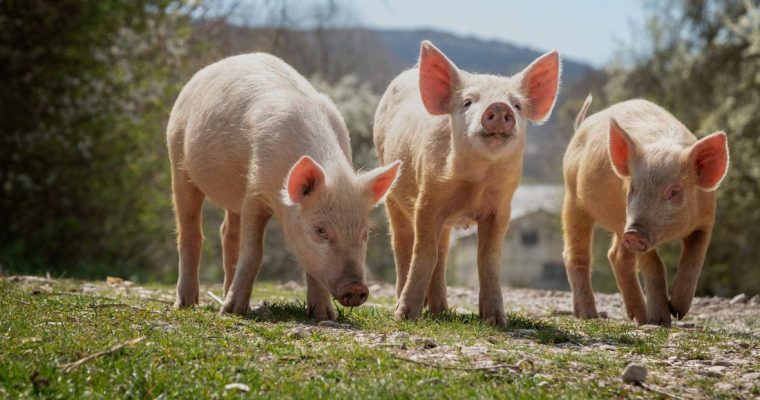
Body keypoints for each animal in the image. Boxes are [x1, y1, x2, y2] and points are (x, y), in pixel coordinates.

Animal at [167, 53, 401, 320]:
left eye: (365, 233)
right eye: (320, 230)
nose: (356, 288)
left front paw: (325, 316)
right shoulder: (255, 191)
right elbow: (253, 252)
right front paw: (232, 312)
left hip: (232, 196)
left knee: (228, 233)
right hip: (177, 156)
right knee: (190, 231)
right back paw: (187, 304)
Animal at [373, 41, 561, 325]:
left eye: (517, 105)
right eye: (468, 102)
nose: (499, 107)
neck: (476, 183)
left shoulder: (502, 209)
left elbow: (488, 258)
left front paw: (496, 320)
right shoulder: (427, 199)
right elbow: (424, 252)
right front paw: (405, 317)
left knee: (442, 252)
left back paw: (440, 310)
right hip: (393, 198)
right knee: (403, 245)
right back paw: (411, 307)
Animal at [562, 95, 729, 326]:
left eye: (674, 192)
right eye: (633, 187)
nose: (634, 232)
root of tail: (582, 125)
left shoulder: (706, 221)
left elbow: (694, 260)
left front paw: (678, 310)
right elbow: (655, 264)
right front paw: (661, 321)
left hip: (618, 221)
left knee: (616, 256)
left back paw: (639, 318)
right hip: (573, 198)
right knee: (576, 254)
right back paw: (590, 315)